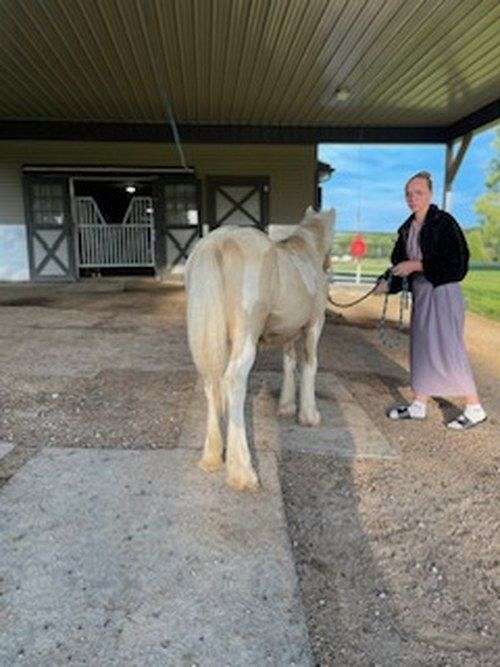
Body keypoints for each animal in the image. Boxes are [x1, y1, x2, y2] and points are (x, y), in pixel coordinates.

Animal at [185, 207, 335, 491]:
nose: (330, 267)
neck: (306, 252)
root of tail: (219, 241)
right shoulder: (313, 327)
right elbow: (310, 365)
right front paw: (309, 415)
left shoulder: (289, 333)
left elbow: (289, 364)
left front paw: (286, 408)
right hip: (245, 338)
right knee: (233, 380)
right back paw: (242, 473)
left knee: (211, 383)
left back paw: (212, 458)